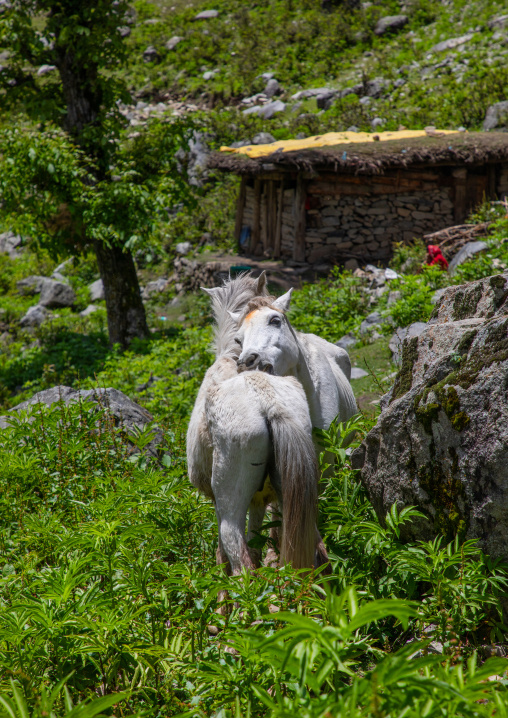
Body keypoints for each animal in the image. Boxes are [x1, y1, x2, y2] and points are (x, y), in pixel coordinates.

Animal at [187, 272, 322, 573]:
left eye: (275, 320)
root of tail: (269, 403)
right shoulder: (262, 500)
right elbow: (258, 540)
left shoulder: (219, 502)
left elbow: (225, 551)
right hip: (297, 499)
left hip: (230, 506)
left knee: (241, 562)